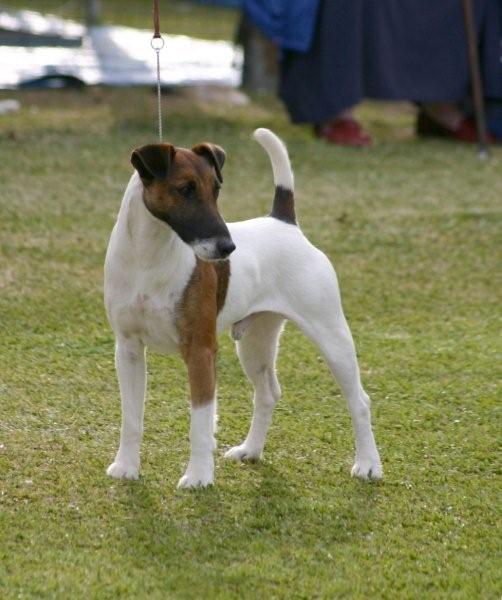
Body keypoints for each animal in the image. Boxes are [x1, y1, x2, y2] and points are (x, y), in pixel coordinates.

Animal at [105, 126, 380, 488]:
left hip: (331, 336)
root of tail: (284, 223)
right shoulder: (129, 350)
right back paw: (250, 450)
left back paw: (368, 465)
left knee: (359, 401)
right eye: (185, 189)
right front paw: (126, 467)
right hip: (254, 343)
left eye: (217, 189)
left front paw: (198, 476)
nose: (227, 248)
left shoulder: (200, 351)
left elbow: (200, 423)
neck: (148, 260)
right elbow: (132, 418)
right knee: (267, 394)